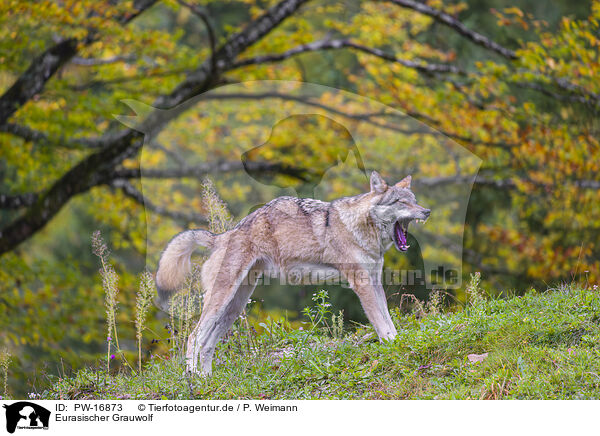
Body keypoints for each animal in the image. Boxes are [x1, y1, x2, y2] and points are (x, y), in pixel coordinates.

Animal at [156, 170, 432, 374]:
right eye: (400, 202)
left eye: (414, 199)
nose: (426, 211)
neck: (359, 227)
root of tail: (223, 235)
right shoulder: (361, 283)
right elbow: (381, 323)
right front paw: (393, 346)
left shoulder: (374, 281)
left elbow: (388, 320)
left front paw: (399, 343)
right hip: (222, 300)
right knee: (194, 337)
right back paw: (193, 380)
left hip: (234, 306)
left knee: (207, 344)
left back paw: (206, 380)